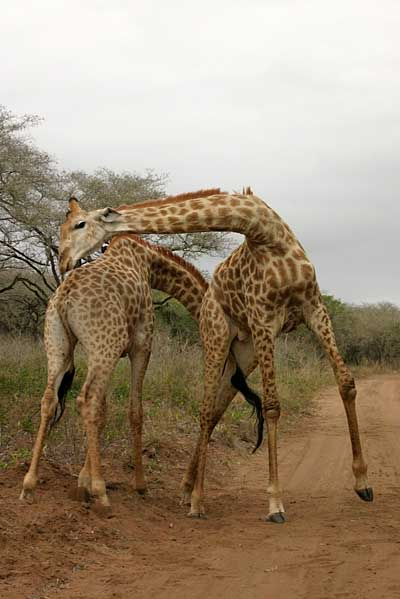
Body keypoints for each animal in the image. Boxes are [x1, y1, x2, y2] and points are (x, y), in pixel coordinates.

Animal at [21, 232, 262, 512]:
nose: (236, 370)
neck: (149, 264)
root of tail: (64, 296)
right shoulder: (141, 346)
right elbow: (135, 411)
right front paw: (138, 484)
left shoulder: (110, 352)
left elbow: (104, 412)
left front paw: (82, 481)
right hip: (103, 345)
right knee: (87, 400)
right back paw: (102, 493)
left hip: (60, 343)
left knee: (50, 399)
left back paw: (29, 484)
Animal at [57, 190, 374, 524]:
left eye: (79, 224)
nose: (64, 261)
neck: (265, 231)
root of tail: (208, 299)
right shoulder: (264, 319)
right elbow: (272, 407)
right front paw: (275, 503)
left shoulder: (315, 308)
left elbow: (346, 383)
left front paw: (363, 483)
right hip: (217, 336)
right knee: (207, 411)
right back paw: (196, 499)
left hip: (245, 353)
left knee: (217, 408)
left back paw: (188, 488)